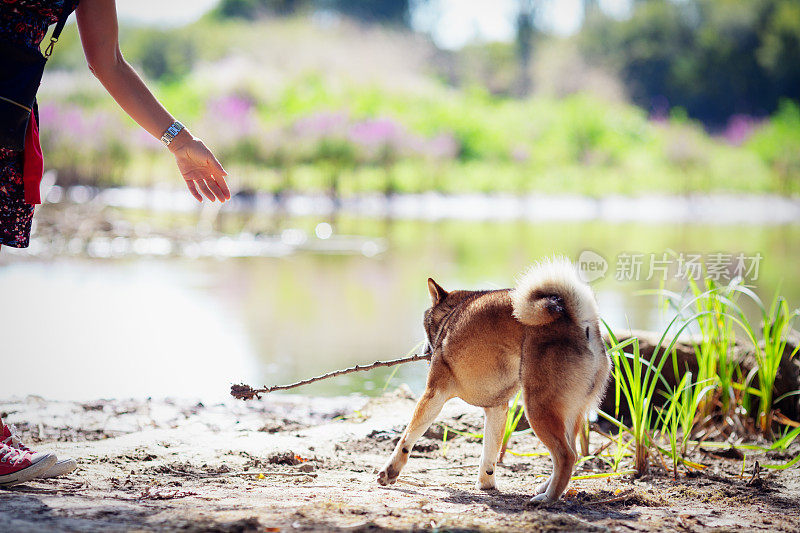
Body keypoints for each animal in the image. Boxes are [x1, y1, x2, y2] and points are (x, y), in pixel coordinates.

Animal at [378, 258, 608, 502]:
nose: (424, 351)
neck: (451, 315)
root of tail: (580, 322)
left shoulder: (434, 395)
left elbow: (407, 438)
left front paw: (390, 471)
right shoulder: (497, 408)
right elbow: (489, 452)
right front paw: (486, 483)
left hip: (538, 409)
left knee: (566, 456)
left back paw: (548, 498)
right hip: (570, 414)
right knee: (573, 454)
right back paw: (546, 488)